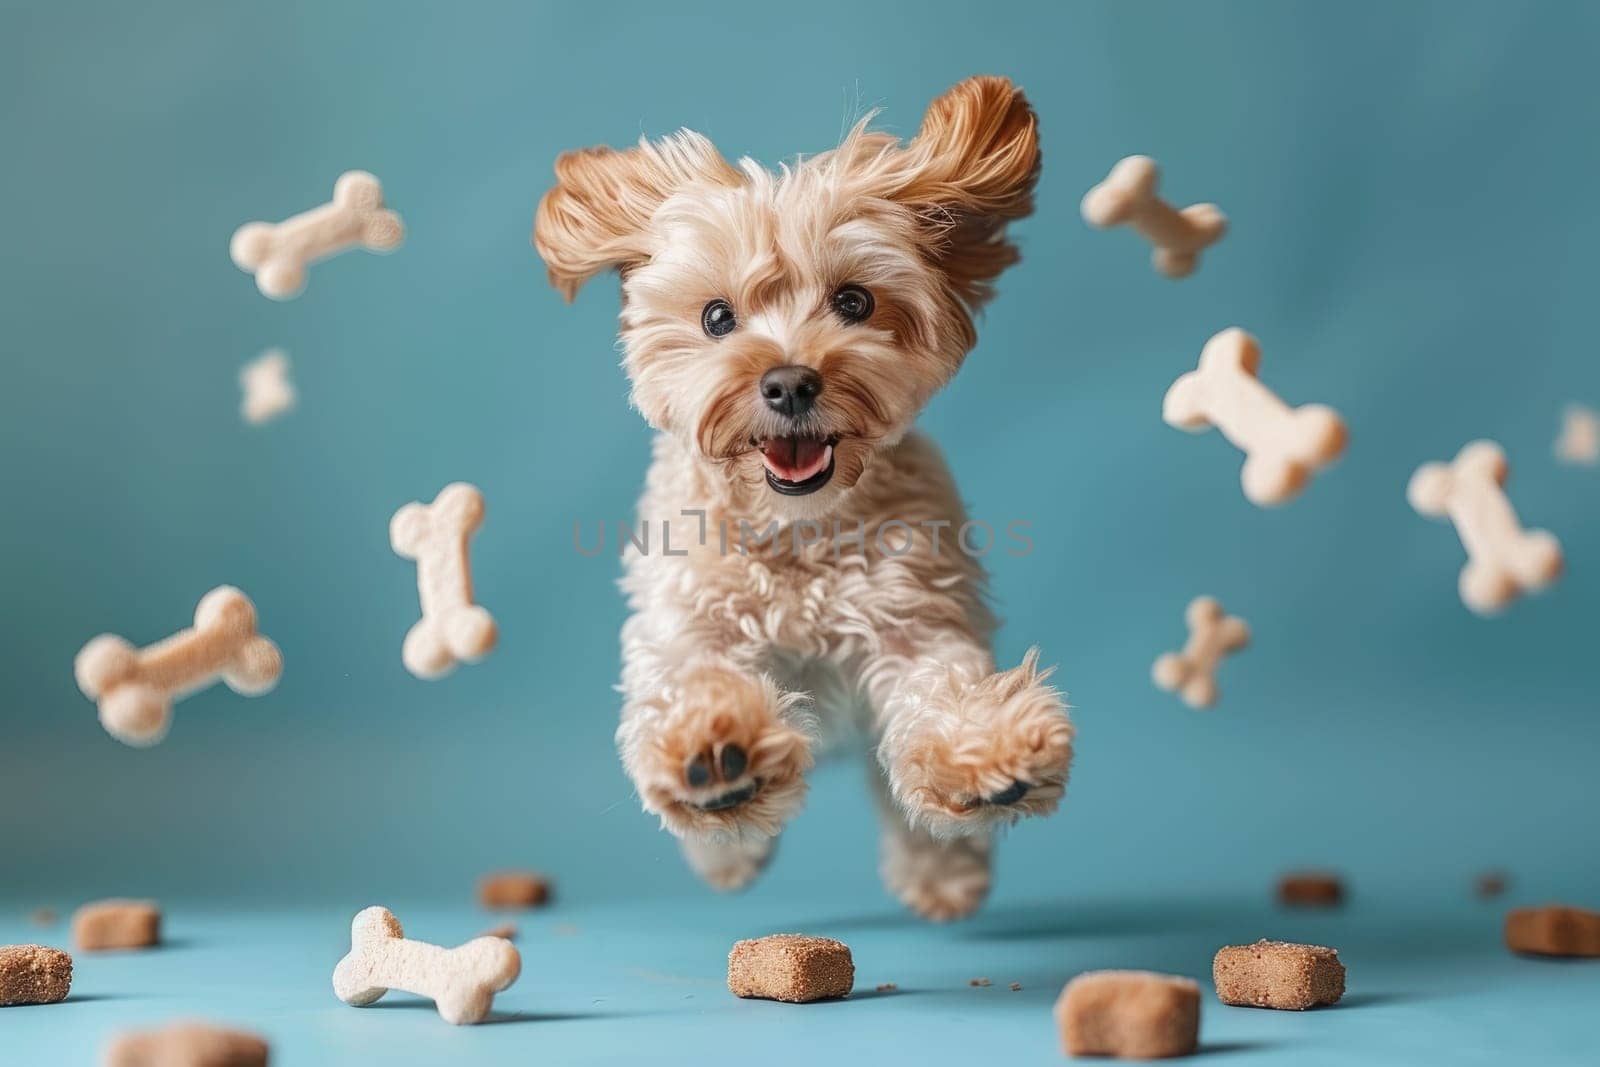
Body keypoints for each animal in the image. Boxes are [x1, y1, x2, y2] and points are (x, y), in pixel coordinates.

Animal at [537, 79, 1075, 921]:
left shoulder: (915, 616)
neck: (798, 533)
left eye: (854, 302)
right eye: (717, 317)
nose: (789, 381)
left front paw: (988, 751)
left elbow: (944, 688)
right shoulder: (684, 617)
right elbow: (685, 683)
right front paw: (713, 753)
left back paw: (943, 869)